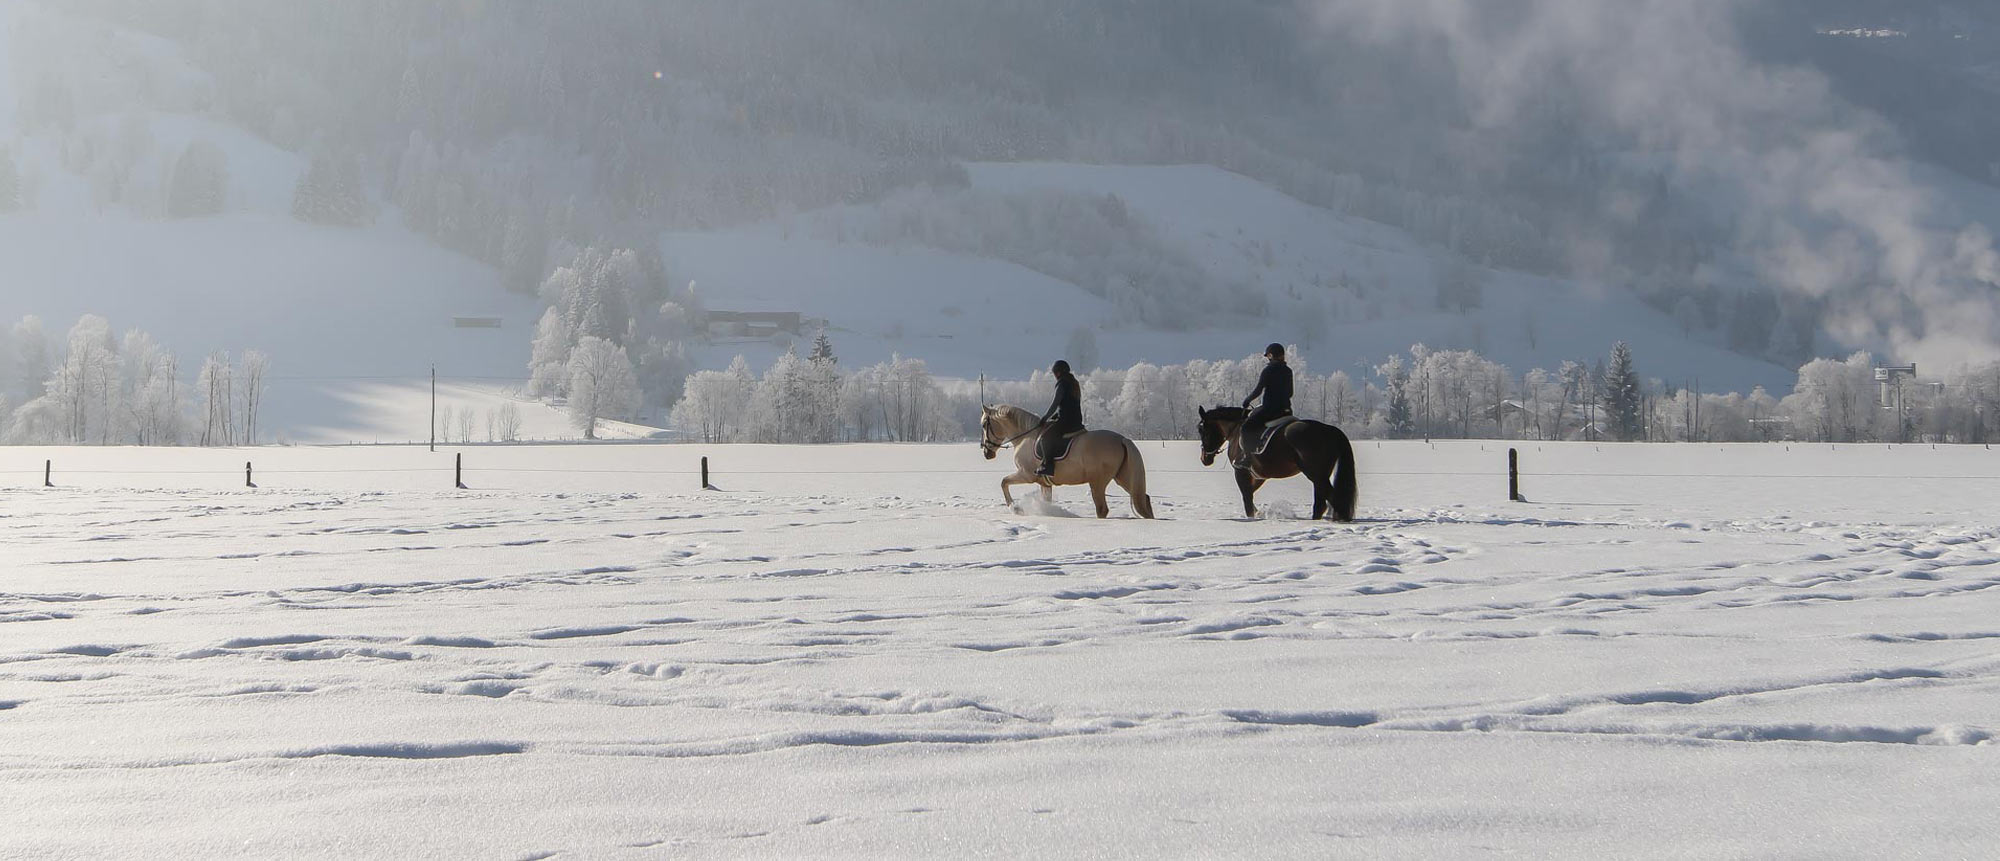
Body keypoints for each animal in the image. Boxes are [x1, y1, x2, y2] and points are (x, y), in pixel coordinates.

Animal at [984, 404, 1160, 516]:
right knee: (1143, 499)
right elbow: (1045, 498)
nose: (987, 453)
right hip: (1122, 478)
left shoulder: (1026, 475)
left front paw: (1015, 508)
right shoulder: (1044, 483)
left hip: (1098, 482)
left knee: (1102, 509)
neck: (1025, 437)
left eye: (985, 425)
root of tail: (1122, 439)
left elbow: (1004, 482)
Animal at [1200, 406, 1360, 520]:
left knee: (1331, 497)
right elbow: (1250, 494)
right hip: (1320, 474)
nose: (1204, 459)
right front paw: (1259, 513)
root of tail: (1329, 429)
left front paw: (1253, 516)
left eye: (1203, 430)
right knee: (1321, 501)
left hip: (1315, 473)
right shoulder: (1259, 476)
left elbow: (1247, 497)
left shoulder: (1241, 472)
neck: (1236, 430)